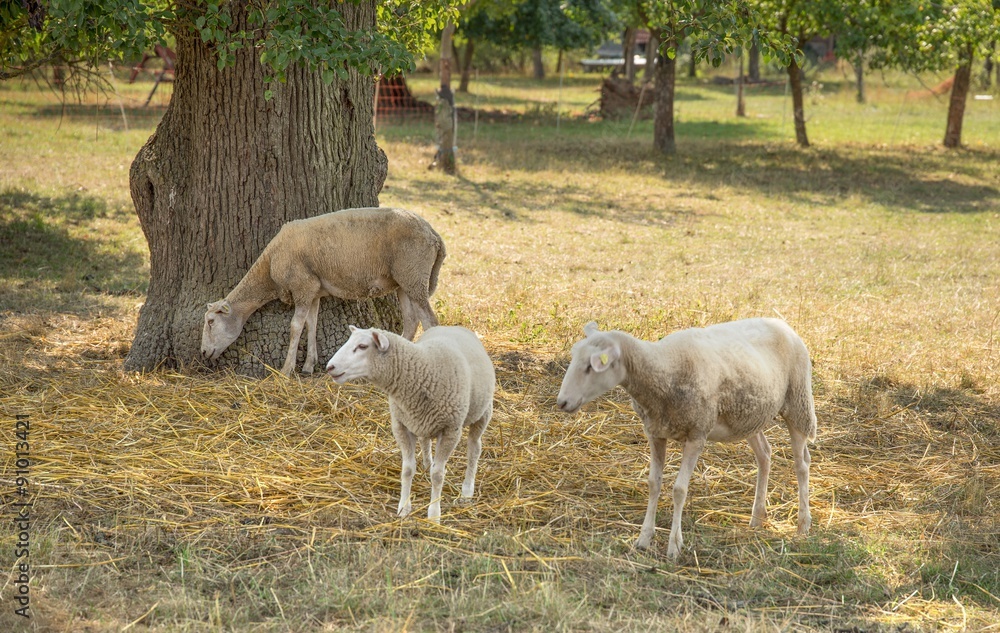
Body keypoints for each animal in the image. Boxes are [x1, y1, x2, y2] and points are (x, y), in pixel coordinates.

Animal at [201, 207, 446, 375]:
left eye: (211, 322)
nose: (203, 352)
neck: (269, 267)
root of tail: (434, 234)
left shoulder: (302, 286)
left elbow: (295, 326)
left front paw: (286, 369)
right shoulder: (314, 291)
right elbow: (311, 324)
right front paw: (309, 365)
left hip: (413, 275)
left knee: (430, 322)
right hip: (404, 282)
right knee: (411, 321)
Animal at [326, 325, 495, 522]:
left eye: (362, 346)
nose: (329, 367)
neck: (424, 368)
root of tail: (452, 326)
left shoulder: (450, 429)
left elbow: (438, 475)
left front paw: (434, 515)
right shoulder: (401, 425)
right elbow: (407, 469)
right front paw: (404, 508)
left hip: (483, 413)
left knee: (474, 449)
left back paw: (467, 491)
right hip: (421, 421)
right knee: (425, 440)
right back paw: (428, 463)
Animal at [556, 318, 817, 559]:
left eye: (591, 367)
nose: (562, 402)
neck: (663, 368)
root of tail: (781, 323)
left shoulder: (696, 434)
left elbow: (679, 490)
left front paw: (674, 545)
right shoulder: (655, 432)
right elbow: (653, 484)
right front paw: (644, 538)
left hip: (797, 402)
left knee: (801, 463)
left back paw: (803, 524)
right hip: (749, 417)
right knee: (765, 455)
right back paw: (757, 517)